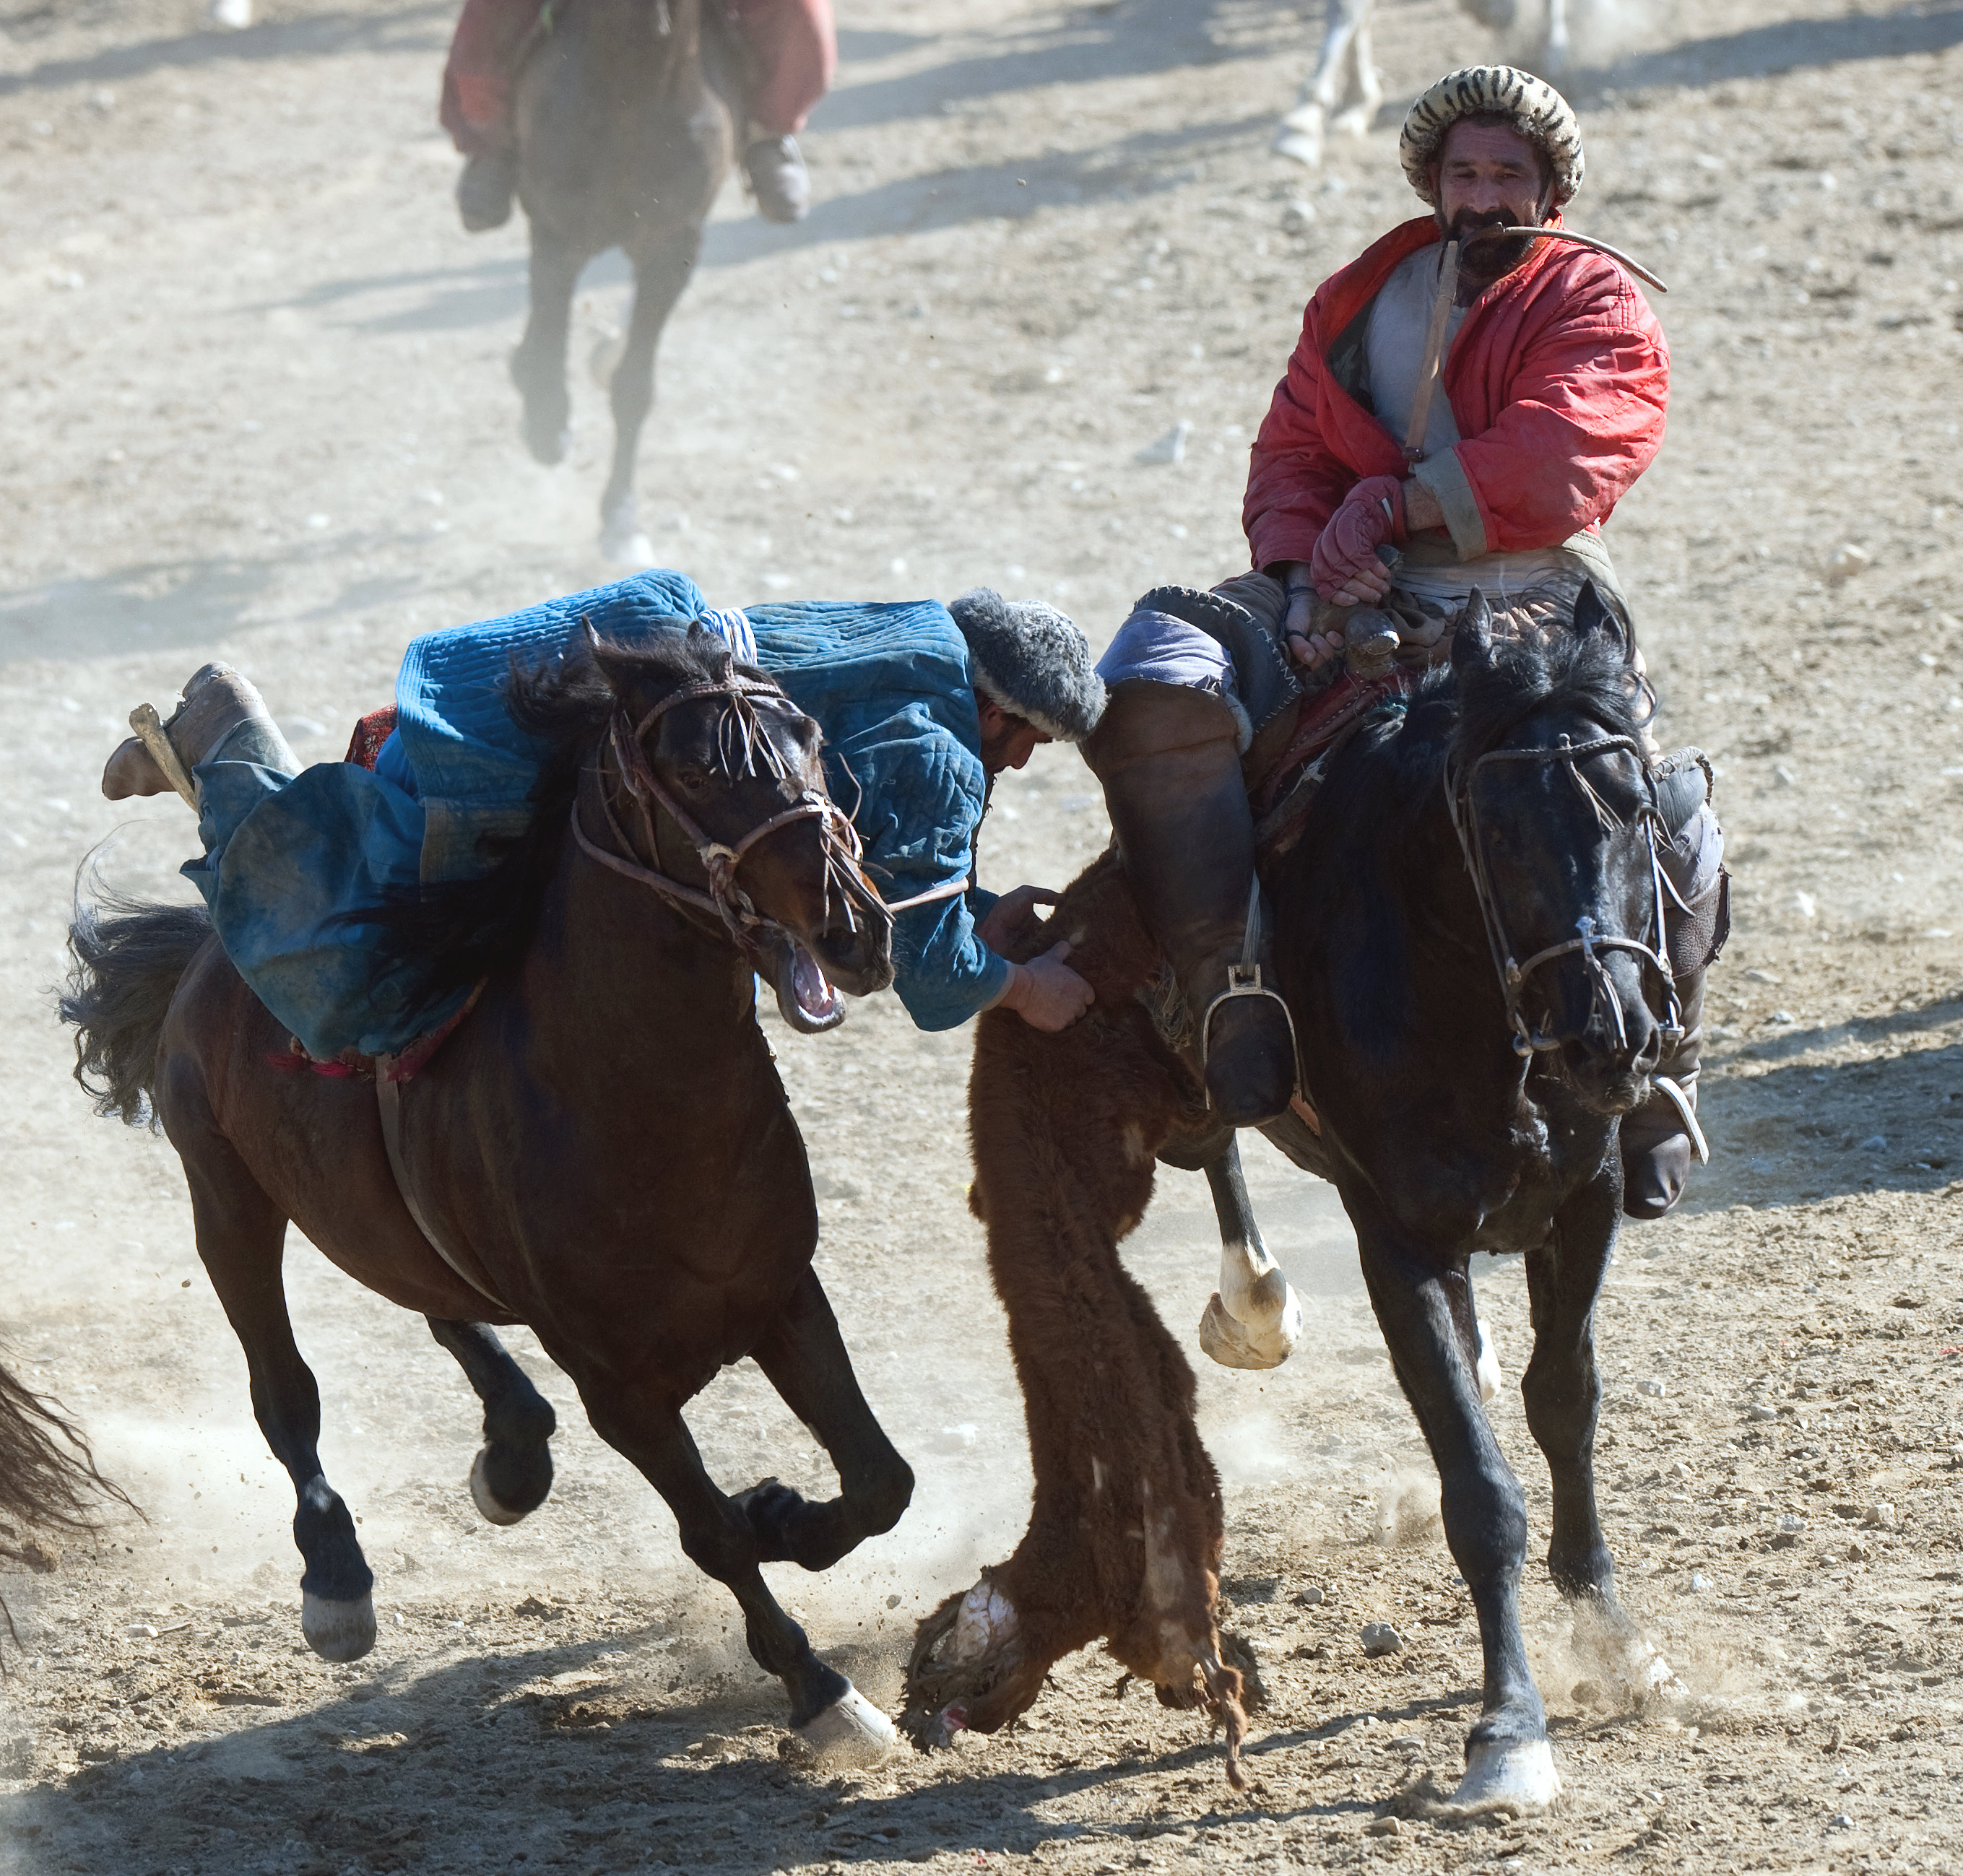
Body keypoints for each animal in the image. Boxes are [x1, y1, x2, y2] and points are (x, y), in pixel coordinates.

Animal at [61, 635, 914, 1766]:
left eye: (809, 736)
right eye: (696, 770)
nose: (853, 926)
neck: (638, 1099)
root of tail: (206, 950)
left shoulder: (781, 1293)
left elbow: (879, 1480)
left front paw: (786, 1514)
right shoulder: (618, 1384)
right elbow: (712, 1533)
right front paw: (822, 1690)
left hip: (373, 1216)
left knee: (435, 1302)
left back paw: (512, 1450)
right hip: (227, 1199)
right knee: (286, 1392)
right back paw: (338, 1580)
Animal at [510, 0, 734, 561]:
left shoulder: (672, 248)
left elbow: (634, 385)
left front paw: (620, 519)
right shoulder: (557, 235)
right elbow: (549, 342)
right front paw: (546, 420)